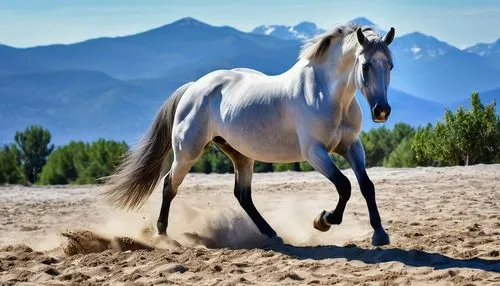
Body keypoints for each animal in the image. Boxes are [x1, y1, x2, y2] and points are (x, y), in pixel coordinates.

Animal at [103, 22, 396, 246]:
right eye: (365, 66)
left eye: (390, 66)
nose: (382, 111)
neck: (326, 94)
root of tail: (194, 87)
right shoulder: (315, 152)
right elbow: (344, 185)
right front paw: (323, 220)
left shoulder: (352, 146)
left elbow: (366, 186)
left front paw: (380, 234)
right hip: (188, 152)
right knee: (169, 185)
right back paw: (162, 235)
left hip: (240, 155)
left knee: (242, 195)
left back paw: (272, 234)